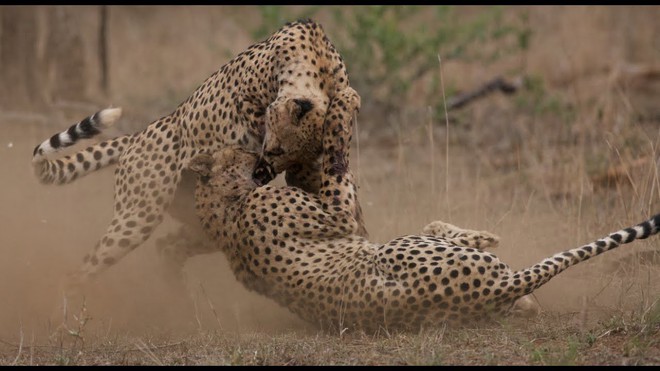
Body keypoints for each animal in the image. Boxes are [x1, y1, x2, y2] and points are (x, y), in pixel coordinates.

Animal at [29, 18, 366, 290]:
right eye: (275, 149)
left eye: (291, 157)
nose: (263, 172)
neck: (316, 62)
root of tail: (137, 136)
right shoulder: (245, 102)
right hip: (137, 216)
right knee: (81, 271)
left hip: (205, 221)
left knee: (168, 246)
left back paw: (177, 296)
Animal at [189, 86, 660, 332]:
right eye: (239, 149)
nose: (260, 156)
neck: (224, 208)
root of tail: (494, 289)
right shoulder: (341, 217)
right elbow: (338, 159)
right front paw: (340, 102)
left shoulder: (351, 223)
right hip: (395, 250)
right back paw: (485, 243)